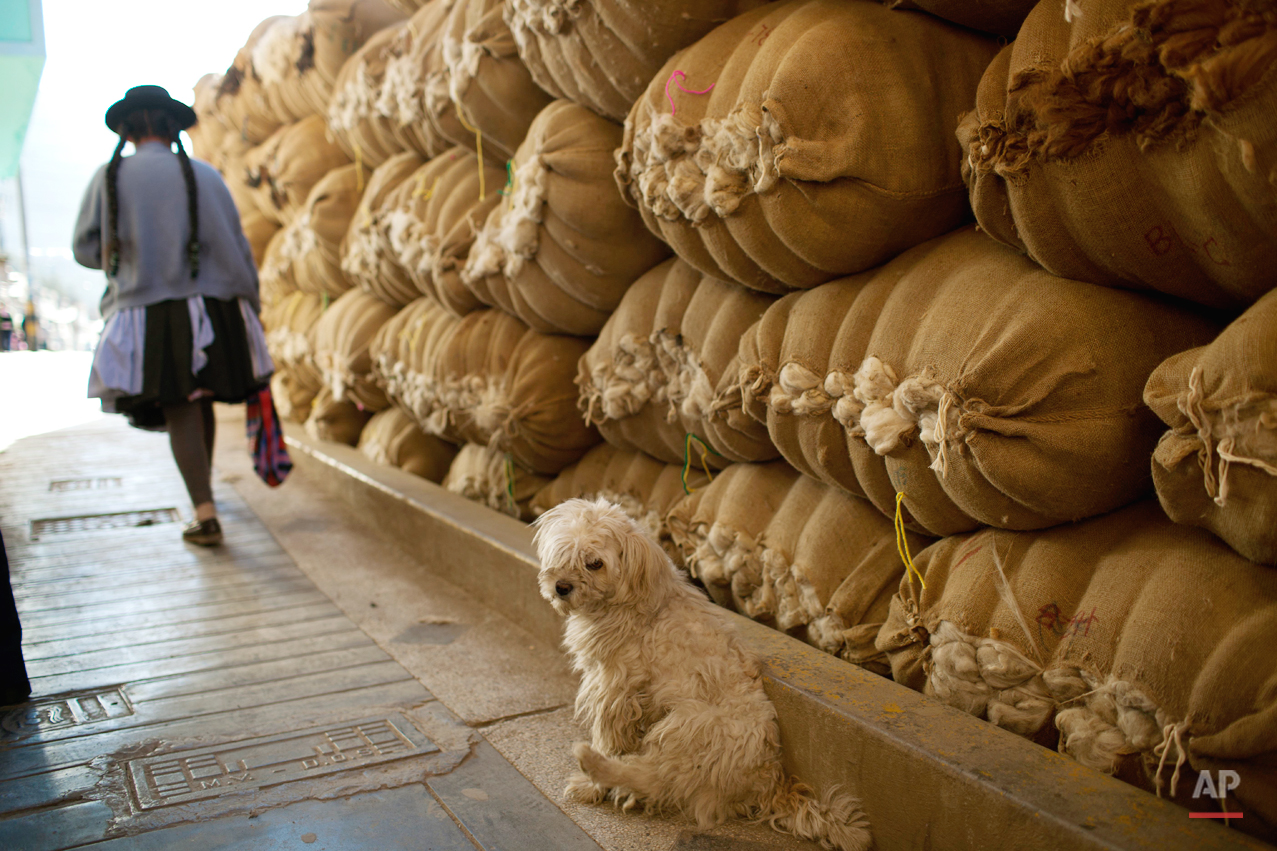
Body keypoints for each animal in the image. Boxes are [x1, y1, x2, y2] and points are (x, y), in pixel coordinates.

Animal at [533, 493, 873, 843]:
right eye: (564, 551)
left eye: (595, 563)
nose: (561, 587)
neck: (634, 602)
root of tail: (767, 782)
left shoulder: (614, 689)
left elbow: (608, 736)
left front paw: (595, 781)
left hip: (688, 724)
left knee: (658, 778)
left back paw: (595, 771)